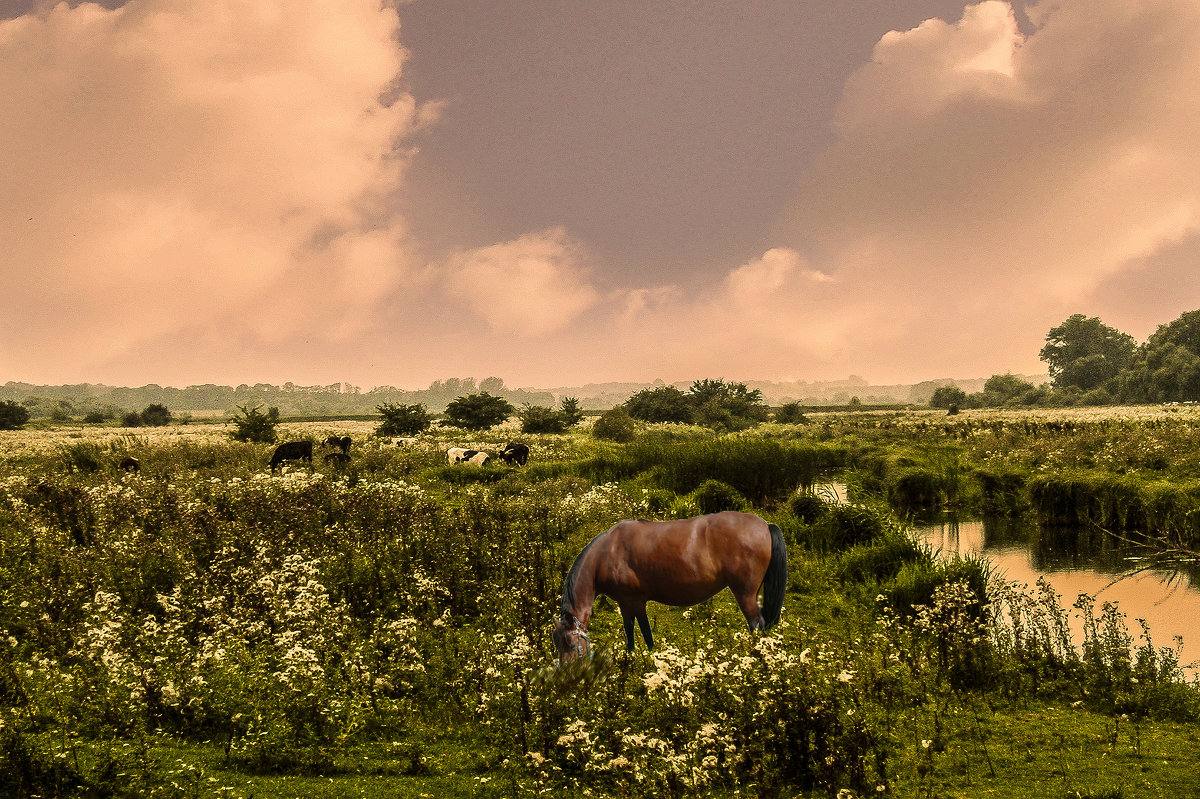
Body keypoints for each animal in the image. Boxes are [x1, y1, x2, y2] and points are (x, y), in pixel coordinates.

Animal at [552, 511, 787, 657]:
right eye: (556, 644)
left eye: (571, 644)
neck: (607, 552)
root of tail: (765, 525)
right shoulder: (627, 603)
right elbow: (632, 631)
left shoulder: (634, 602)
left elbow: (643, 633)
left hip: (745, 593)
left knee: (756, 624)